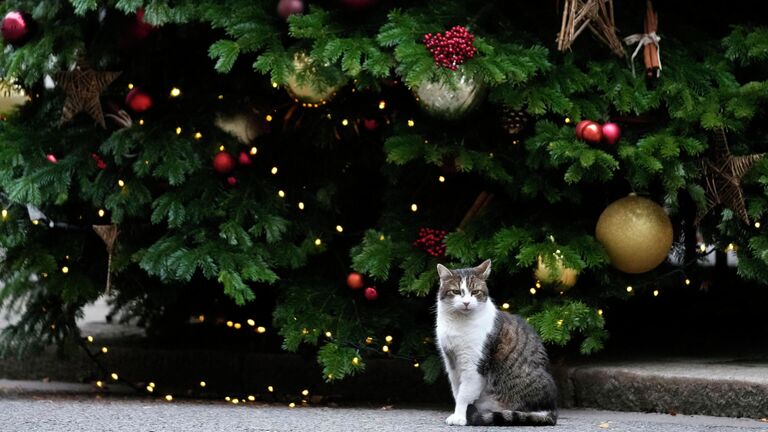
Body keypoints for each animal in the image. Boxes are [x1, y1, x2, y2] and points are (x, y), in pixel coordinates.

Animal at [436, 260, 556, 426]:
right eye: (456, 291)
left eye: (475, 292)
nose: (466, 303)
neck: (458, 323)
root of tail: (552, 409)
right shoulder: (451, 362)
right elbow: (456, 391)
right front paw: (458, 413)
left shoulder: (473, 365)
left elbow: (464, 394)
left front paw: (460, 416)